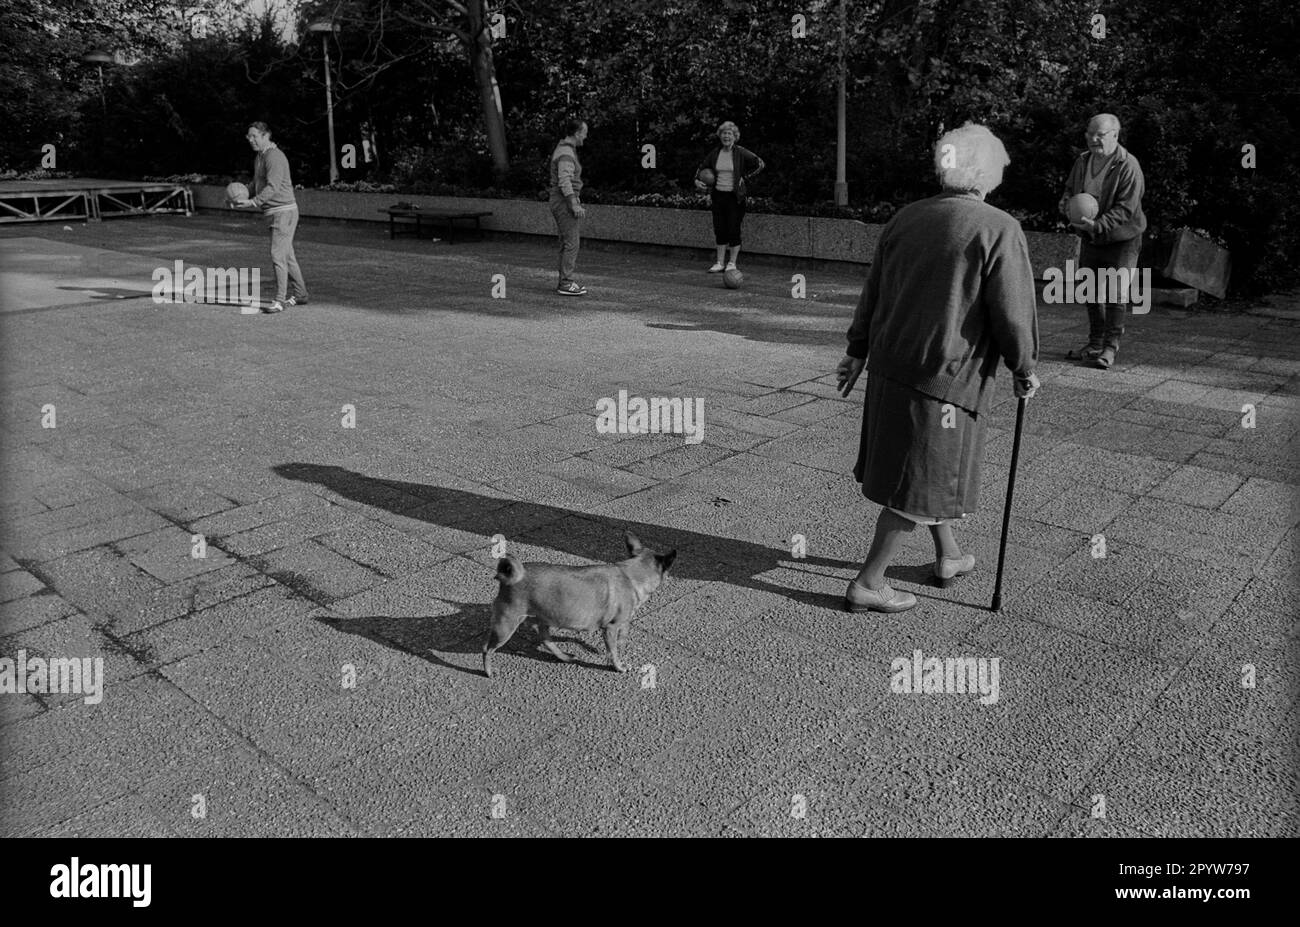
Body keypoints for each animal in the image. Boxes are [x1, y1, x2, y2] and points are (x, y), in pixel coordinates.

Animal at [480, 530, 681, 676]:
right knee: (487, 649)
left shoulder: (621, 626)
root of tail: (513, 577)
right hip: (506, 626)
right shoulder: (611, 628)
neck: (630, 576)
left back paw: (564, 657)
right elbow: (614, 651)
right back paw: (489, 672)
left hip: (543, 618)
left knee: (546, 640)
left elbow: (619, 644)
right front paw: (618, 666)